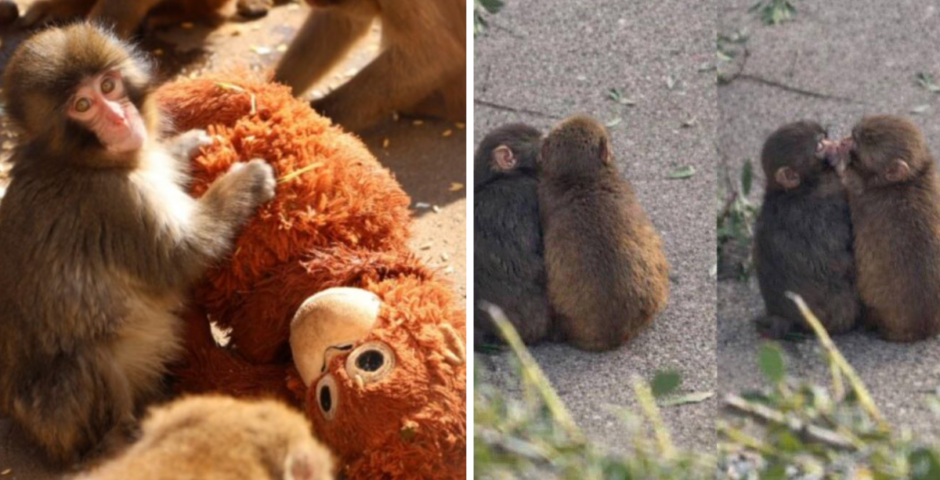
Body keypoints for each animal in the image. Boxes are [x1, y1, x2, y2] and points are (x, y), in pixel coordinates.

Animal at [0, 23, 276, 464]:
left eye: (108, 85)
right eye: (82, 105)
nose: (118, 117)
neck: (80, 162)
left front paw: (185, 145)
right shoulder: (116, 202)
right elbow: (182, 256)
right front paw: (245, 181)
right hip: (55, 418)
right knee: (86, 361)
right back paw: (116, 441)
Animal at [751, 121, 861, 339]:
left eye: (825, 137)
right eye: (819, 146)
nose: (837, 145)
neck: (792, 191)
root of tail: (783, 317)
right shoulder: (827, 201)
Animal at [830, 115, 940, 342]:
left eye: (861, 142)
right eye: (854, 136)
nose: (846, 139)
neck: (909, 179)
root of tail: (923, 329)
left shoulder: (862, 196)